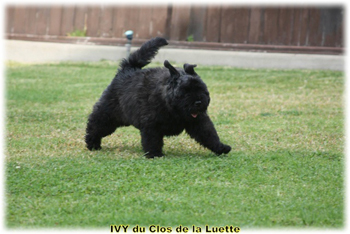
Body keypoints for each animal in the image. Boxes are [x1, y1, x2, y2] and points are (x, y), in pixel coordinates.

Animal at [86, 37, 231, 158]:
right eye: (185, 92)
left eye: (202, 90)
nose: (198, 102)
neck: (169, 103)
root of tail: (127, 70)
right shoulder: (151, 124)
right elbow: (153, 140)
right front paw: (154, 154)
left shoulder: (198, 122)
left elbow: (209, 135)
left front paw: (220, 147)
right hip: (109, 115)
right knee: (95, 124)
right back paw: (92, 143)